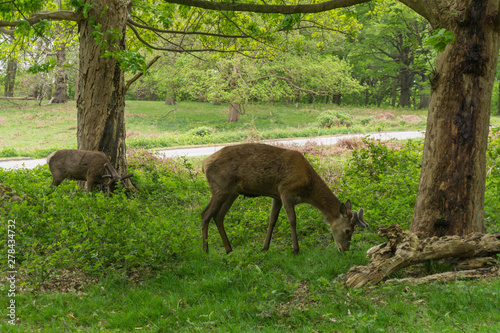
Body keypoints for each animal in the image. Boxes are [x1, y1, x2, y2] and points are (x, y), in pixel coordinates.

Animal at [201, 141, 370, 253]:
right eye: (348, 230)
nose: (345, 249)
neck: (308, 188)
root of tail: (204, 164)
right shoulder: (286, 191)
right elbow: (292, 220)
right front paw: (296, 249)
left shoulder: (276, 196)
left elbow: (272, 221)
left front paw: (265, 247)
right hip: (220, 187)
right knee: (205, 214)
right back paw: (205, 250)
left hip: (232, 192)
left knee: (218, 216)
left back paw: (229, 249)